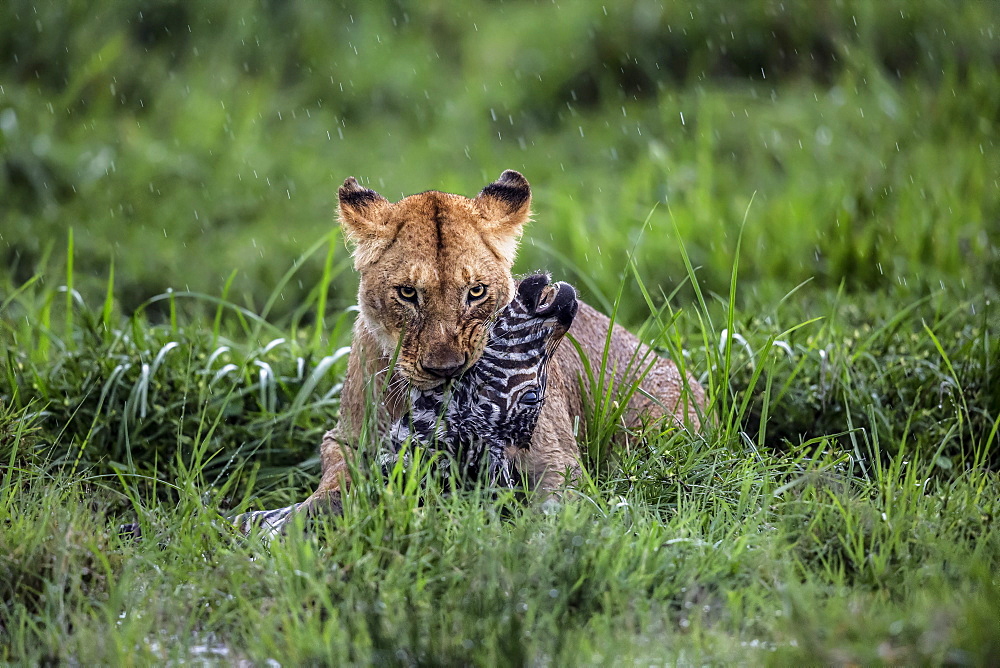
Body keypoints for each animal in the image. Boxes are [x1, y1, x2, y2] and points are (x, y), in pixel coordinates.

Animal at [302, 168, 704, 512]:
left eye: (476, 291)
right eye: (407, 293)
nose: (446, 370)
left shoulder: (555, 456)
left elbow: (557, 508)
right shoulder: (345, 438)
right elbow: (336, 479)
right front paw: (312, 515)